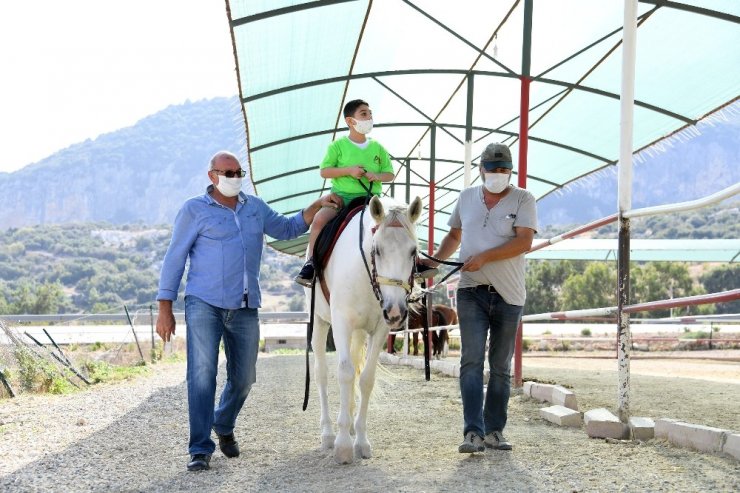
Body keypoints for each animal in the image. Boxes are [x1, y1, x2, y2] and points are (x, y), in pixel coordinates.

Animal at [308, 195, 422, 462]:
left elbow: (366, 379)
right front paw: (342, 445)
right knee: (320, 373)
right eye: (377, 249)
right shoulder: (340, 324)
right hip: (320, 322)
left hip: (360, 332)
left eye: (413, 251)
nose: (395, 311)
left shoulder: (380, 329)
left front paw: (360, 440)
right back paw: (328, 433)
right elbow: (344, 373)